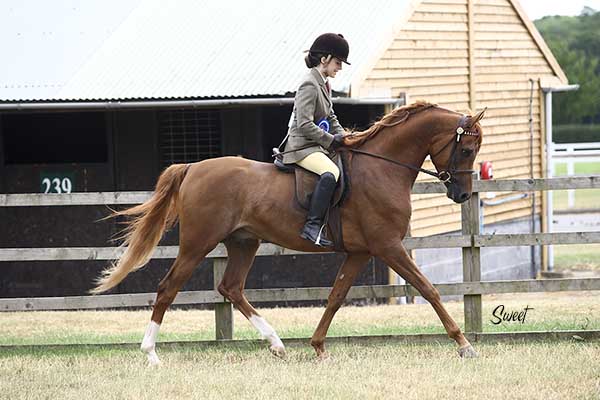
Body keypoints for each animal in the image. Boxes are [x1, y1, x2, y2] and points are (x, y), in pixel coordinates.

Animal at [91, 100, 485, 365]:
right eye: (466, 149)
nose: (461, 195)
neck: (382, 168)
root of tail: (193, 168)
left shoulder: (361, 252)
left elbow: (336, 296)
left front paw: (318, 346)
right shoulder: (388, 247)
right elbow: (429, 290)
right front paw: (464, 343)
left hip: (244, 242)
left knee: (231, 288)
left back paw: (277, 344)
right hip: (197, 243)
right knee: (168, 288)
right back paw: (151, 354)